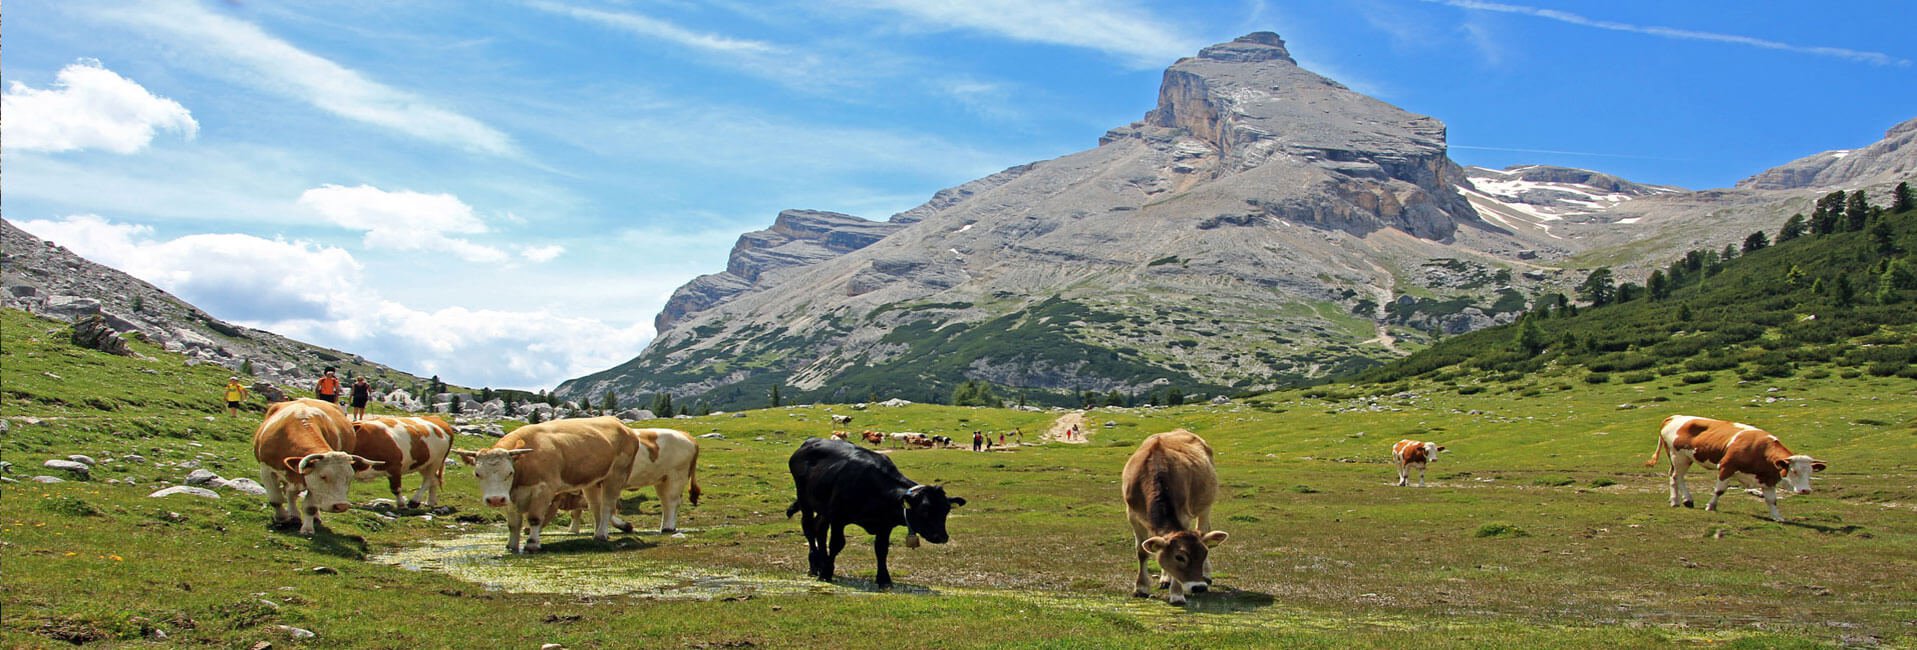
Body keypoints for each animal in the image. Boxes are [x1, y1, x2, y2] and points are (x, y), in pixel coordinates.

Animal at [254, 400, 381, 536]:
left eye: (349, 478)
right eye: (323, 476)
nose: (341, 506)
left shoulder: (312, 483)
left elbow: (310, 507)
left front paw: (307, 529)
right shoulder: (266, 469)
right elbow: (275, 499)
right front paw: (281, 519)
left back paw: (310, 517)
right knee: (290, 493)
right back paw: (293, 515)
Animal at [456, 417, 644, 556]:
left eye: (509, 472)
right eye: (477, 474)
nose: (495, 500)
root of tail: (621, 425)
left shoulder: (544, 491)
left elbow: (534, 518)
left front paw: (532, 544)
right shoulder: (510, 497)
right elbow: (513, 524)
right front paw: (511, 546)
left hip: (616, 476)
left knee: (606, 507)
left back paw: (602, 533)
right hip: (591, 482)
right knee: (596, 507)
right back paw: (598, 534)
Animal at [782, 437, 966, 586]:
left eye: (946, 510)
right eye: (925, 510)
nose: (942, 537)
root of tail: (808, 442)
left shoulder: (885, 525)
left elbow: (881, 549)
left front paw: (884, 579)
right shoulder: (838, 518)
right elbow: (837, 544)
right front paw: (827, 573)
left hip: (823, 509)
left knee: (819, 529)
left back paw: (821, 562)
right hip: (805, 501)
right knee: (808, 528)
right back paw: (815, 566)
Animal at [1119, 429, 1226, 609]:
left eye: (1204, 553)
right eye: (1179, 557)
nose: (1199, 587)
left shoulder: (1183, 515)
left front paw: (1177, 594)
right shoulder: (1133, 515)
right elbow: (1142, 551)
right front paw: (1141, 588)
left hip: (1206, 504)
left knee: (1204, 529)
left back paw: (1206, 574)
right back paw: (1165, 579)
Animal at [1648, 417, 1824, 525]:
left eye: (1811, 472)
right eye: (1793, 471)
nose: (1805, 490)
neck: (1759, 450)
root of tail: (1673, 417)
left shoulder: (1767, 479)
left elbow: (1772, 500)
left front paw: (1777, 516)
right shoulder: (1726, 466)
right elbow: (1719, 490)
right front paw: (1711, 506)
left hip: (1682, 458)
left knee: (1674, 476)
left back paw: (1677, 500)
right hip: (1678, 456)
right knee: (1677, 476)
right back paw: (1685, 500)